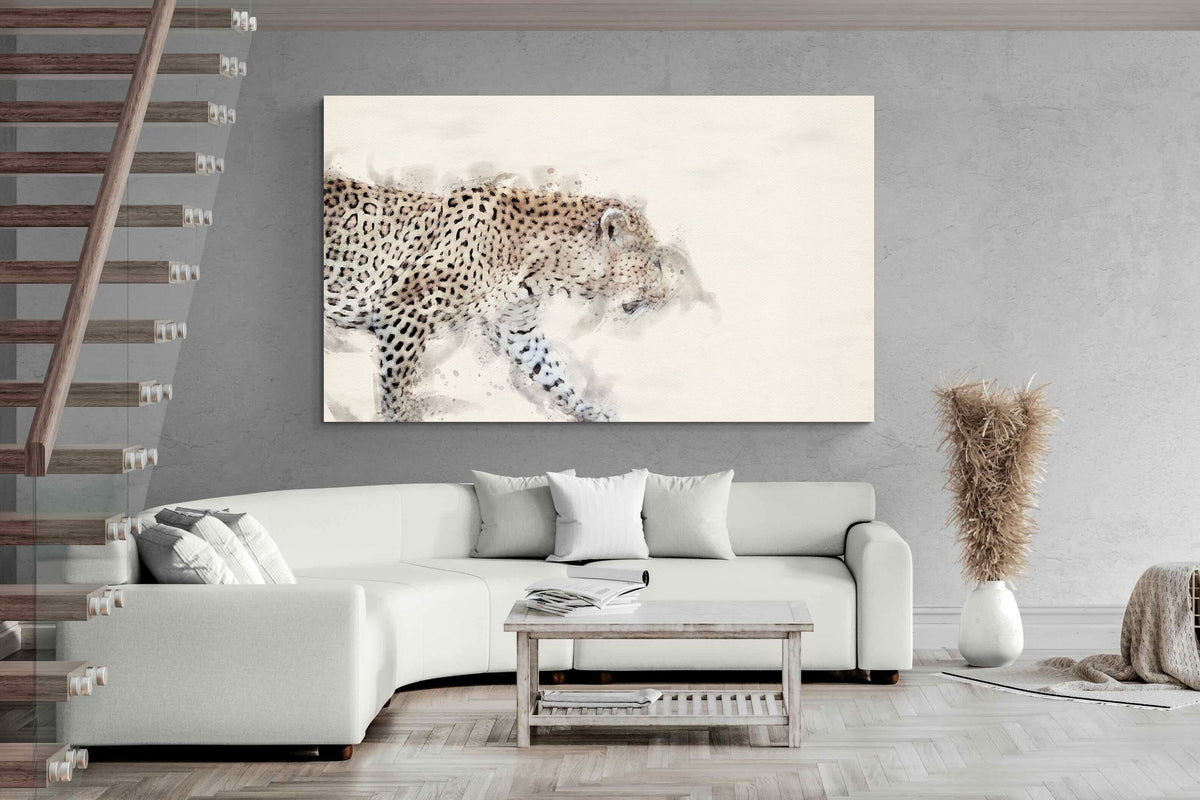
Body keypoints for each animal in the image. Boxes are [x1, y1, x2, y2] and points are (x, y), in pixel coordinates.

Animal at [323, 174, 693, 422]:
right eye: (654, 262)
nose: (666, 295)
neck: (544, 268)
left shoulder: (517, 327)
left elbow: (551, 372)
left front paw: (588, 411)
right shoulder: (403, 308)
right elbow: (395, 383)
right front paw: (401, 417)